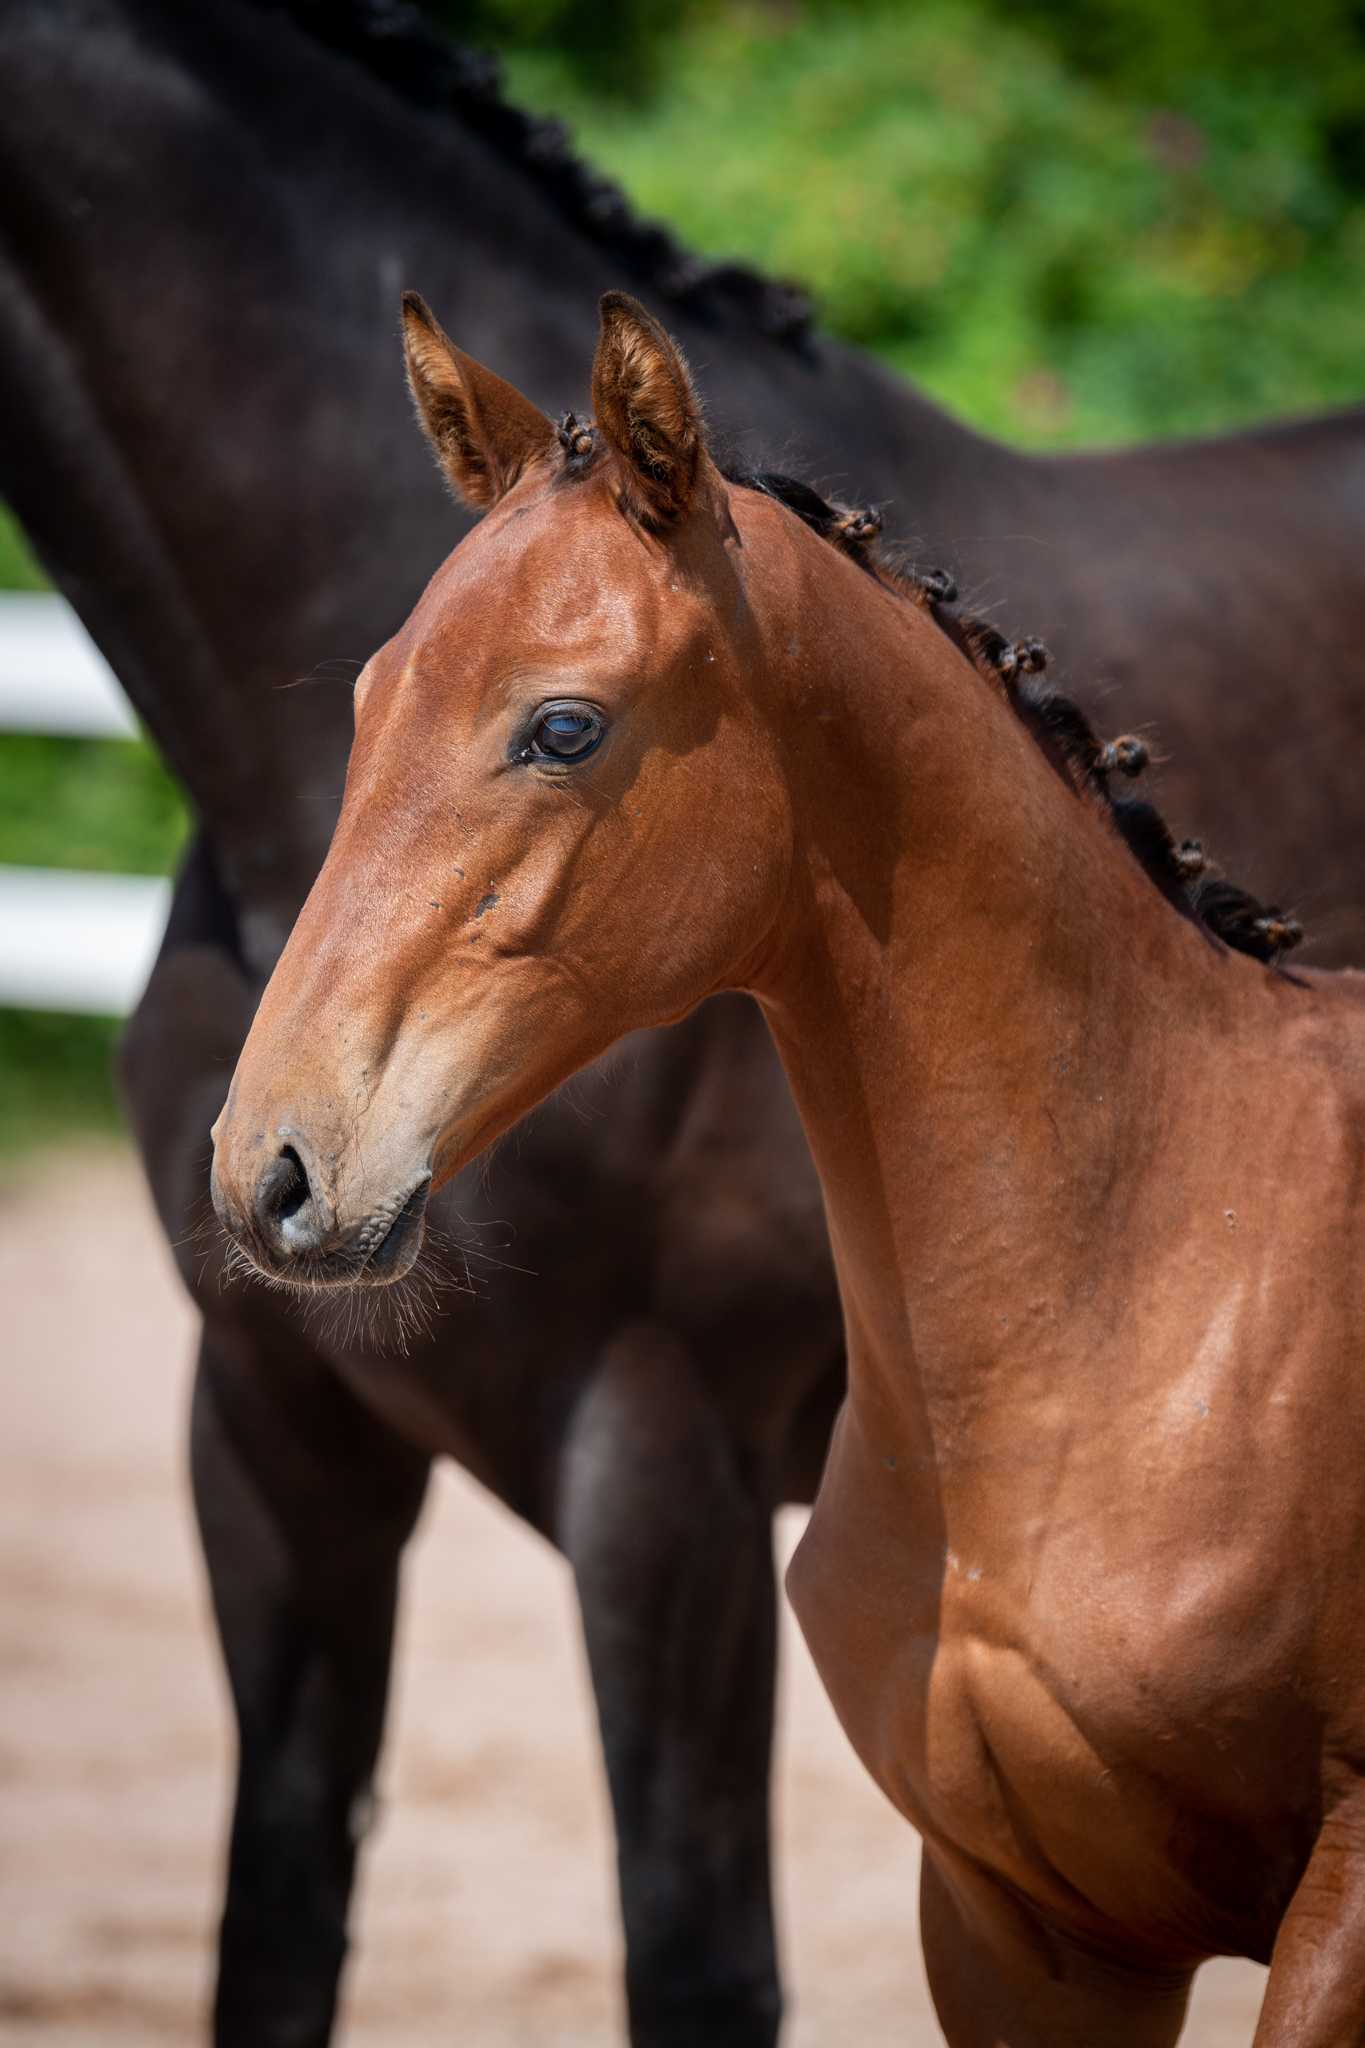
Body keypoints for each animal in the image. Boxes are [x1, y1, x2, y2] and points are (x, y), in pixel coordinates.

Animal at [2, 1, 1363, 2039]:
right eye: (368, 693)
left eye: (564, 724)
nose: (280, 1165)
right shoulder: (272, 1427)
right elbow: (276, 1924)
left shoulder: (668, 1462)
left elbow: (700, 1960)